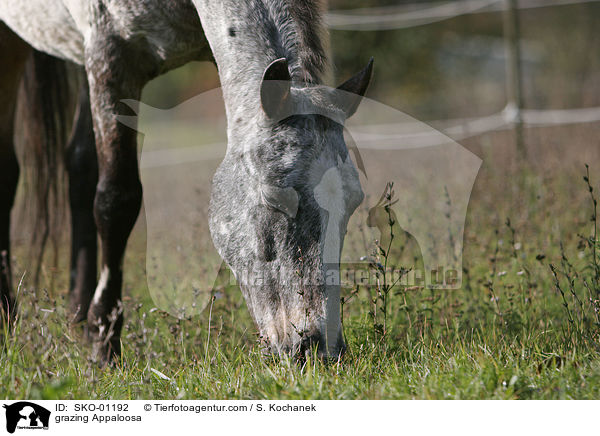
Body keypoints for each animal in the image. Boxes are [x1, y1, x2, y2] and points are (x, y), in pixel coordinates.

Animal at [0, 0, 372, 364]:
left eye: (353, 203)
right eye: (274, 199)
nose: (319, 349)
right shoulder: (109, 59)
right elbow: (116, 201)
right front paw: (103, 346)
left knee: (78, 167)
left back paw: (76, 314)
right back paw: (9, 316)